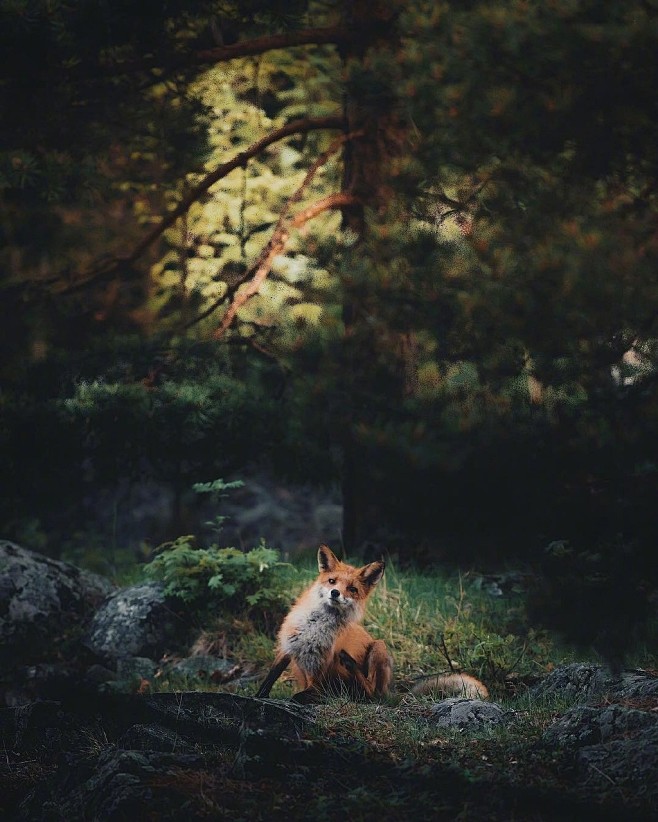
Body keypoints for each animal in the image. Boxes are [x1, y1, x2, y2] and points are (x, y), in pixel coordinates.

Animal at [255, 548, 390, 700]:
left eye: (352, 589)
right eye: (332, 581)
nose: (335, 592)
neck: (313, 626)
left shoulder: (318, 675)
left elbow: (301, 695)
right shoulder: (287, 647)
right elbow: (271, 676)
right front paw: (259, 695)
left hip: (379, 646)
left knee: (372, 692)